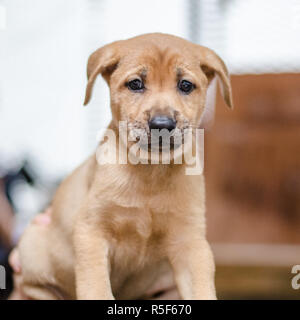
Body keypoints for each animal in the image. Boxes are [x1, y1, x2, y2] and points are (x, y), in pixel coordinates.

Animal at [15, 33, 232, 300]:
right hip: (33, 248)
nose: (162, 124)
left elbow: (202, 289)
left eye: (186, 85)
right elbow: (97, 289)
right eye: (135, 83)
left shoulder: (191, 242)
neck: (150, 172)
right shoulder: (91, 231)